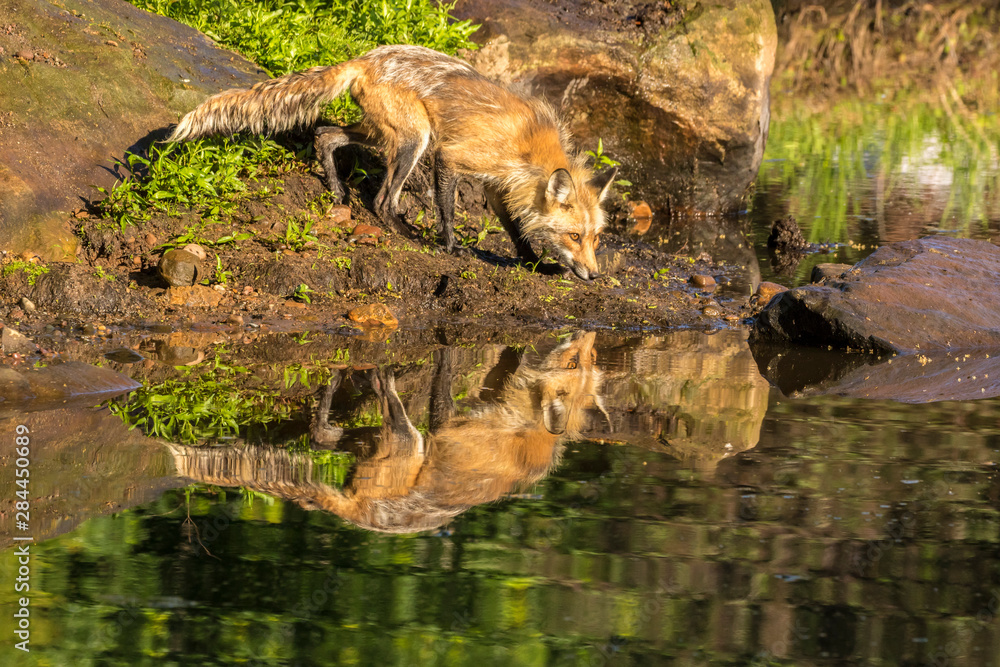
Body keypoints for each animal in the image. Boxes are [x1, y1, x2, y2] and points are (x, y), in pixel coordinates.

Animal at [167, 44, 618, 280]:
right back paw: (404, 231)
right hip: (416, 140)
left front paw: (534, 264)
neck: (529, 147)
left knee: (326, 134)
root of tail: (367, 57)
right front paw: (451, 247)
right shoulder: (451, 157)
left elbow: (517, 229)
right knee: (383, 200)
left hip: (384, 132)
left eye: (596, 239)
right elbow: (448, 210)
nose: (596, 275)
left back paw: (338, 190)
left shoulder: (498, 185)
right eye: (574, 236)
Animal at [167, 331, 607, 534]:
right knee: (322, 435)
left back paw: (370, 376)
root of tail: (358, 516)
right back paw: (343, 380)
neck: (529, 429)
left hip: (403, 443)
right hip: (380, 444)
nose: (591, 336)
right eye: (579, 361)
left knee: (352, 416)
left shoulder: (447, 428)